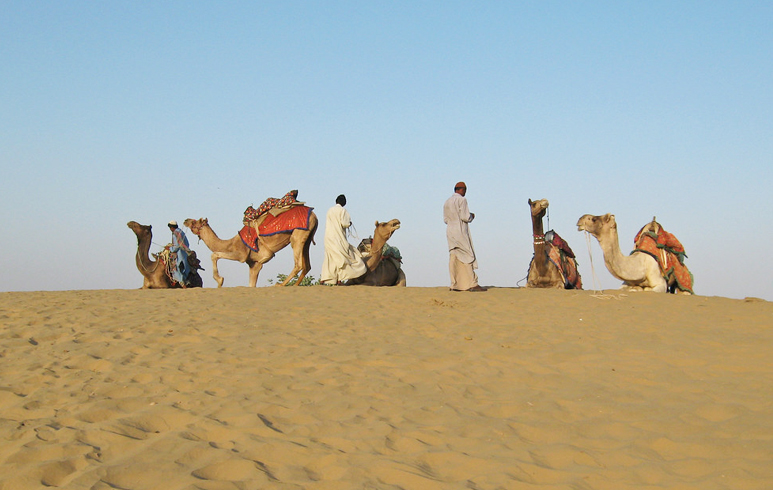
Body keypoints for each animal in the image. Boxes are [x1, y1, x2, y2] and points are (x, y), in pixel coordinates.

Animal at [184, 211, 316, 288]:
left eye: (195, 222)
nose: (186, 220)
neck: (231, 243)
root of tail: (314, 216)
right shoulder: (253, 264)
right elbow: (251, 285)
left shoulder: (242, 255)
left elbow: (214, 254)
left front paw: (220, 280)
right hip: (307, 237)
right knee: (307, 264)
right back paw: (295, 285)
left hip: (297, 236)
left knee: (298, 263)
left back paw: (281, 284)